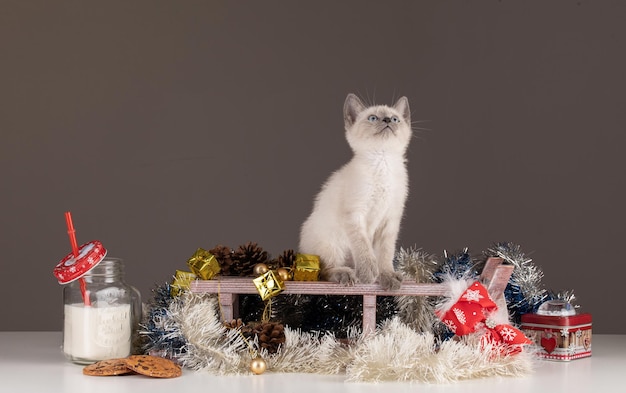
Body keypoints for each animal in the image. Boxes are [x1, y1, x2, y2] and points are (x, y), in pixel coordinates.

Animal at [298, 92, 410, 288]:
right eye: (373, 118)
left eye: (395, 119)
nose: (388, 120)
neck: (382, 161)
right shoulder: (354, 214)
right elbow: (363, 246)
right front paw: (368, 273)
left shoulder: (390, 220)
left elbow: (385, 253)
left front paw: (387, 276)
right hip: (331, 242)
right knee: (325, 270)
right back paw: (346, 274)